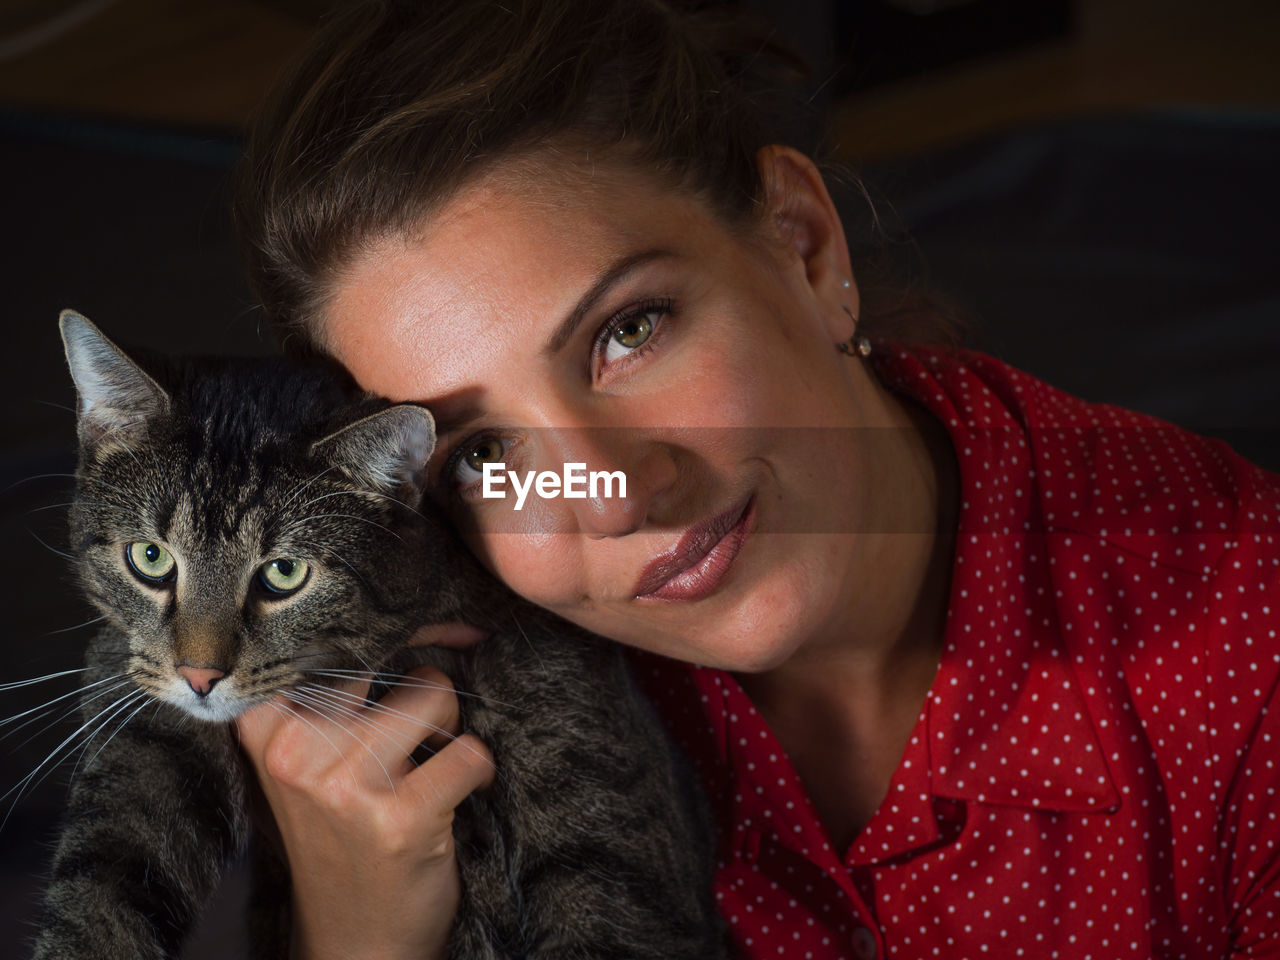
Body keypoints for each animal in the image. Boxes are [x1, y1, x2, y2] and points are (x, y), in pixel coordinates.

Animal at [30, 312, 727, 957]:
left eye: (284, 573)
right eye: (149, 558)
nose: (200, 677)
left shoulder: (586, 756)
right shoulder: (138, 715)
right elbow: (102, 886)